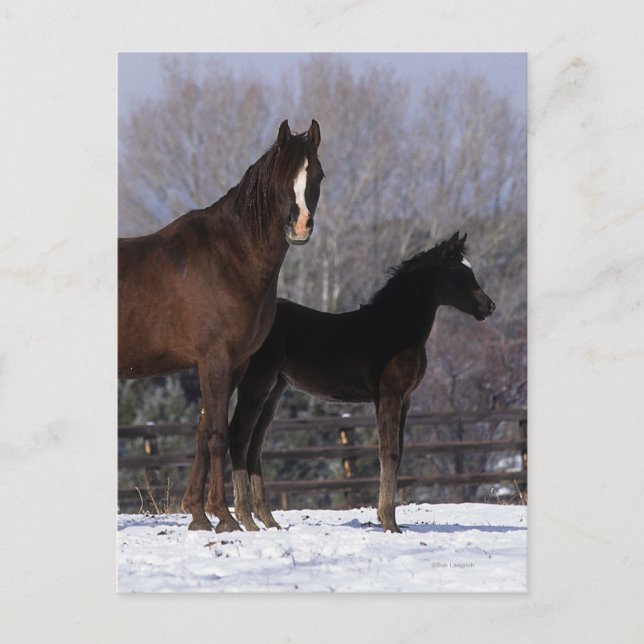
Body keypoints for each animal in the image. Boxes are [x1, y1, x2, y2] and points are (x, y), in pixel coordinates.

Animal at [118, 120, 324, 532]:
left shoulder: (234, 363)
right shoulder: (215, 358)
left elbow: (203, 432)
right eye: (281, 179)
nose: (300, 227)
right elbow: (217, 435)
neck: (228, 257)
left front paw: (198, 515)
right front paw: (225, 517)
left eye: (318, 175)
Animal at [227, 232, 495, 533]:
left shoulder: (405, 399)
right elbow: (389, 453)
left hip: (275, 390)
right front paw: (389, 522)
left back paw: (269, 520)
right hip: (256, 384)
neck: (395, 330)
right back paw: (246, 519)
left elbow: (399, 452)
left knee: (255, 445)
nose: (489, 306)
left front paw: (388, 519)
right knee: (238, 437)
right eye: (459, 272)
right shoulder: (388, 395)